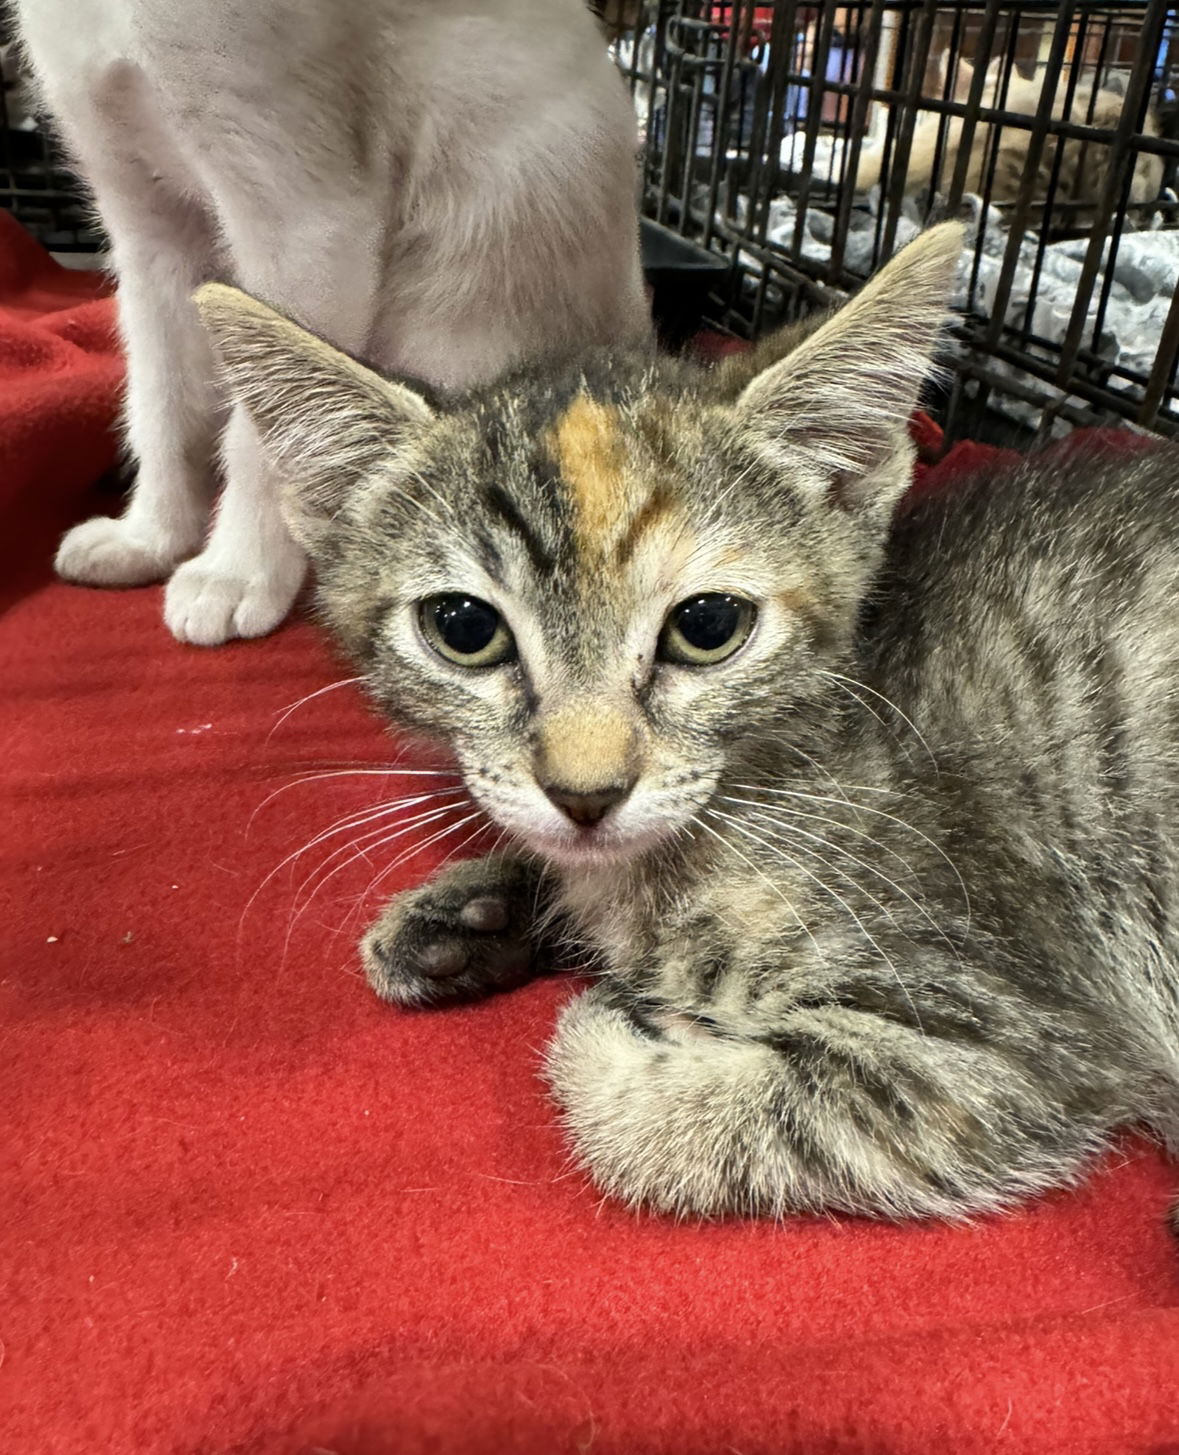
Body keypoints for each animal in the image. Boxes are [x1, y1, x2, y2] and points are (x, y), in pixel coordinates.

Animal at [16, 0, 643, 643]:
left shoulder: (309, 224)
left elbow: (261, 432)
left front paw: (235, 573)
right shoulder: (147, 231)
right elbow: (160, 408)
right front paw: (152, 538)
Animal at [195, 224, 1176, 1228]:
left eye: (707, 626)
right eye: (464, 629)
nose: (585, 793)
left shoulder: (999, 1039)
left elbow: (666, 1120)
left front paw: (618, 1012)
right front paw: (477, 910)